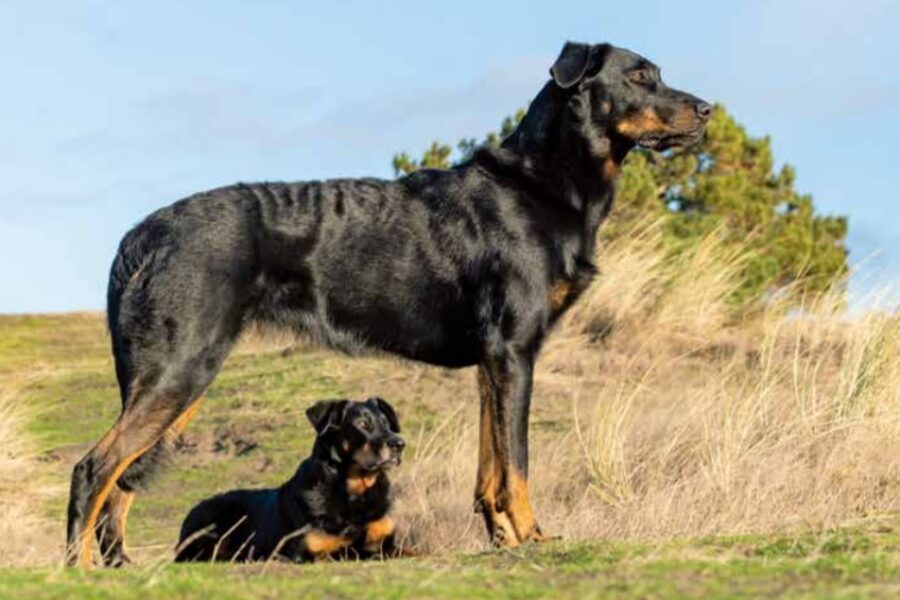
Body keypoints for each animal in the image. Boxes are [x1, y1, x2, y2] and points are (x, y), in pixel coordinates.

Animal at [175, 398, 404, 564]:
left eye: (387, 424)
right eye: (363, 424)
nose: (399, 444)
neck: (354, 491)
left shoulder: (385, 538)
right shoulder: (304, 552)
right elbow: (352, 551)